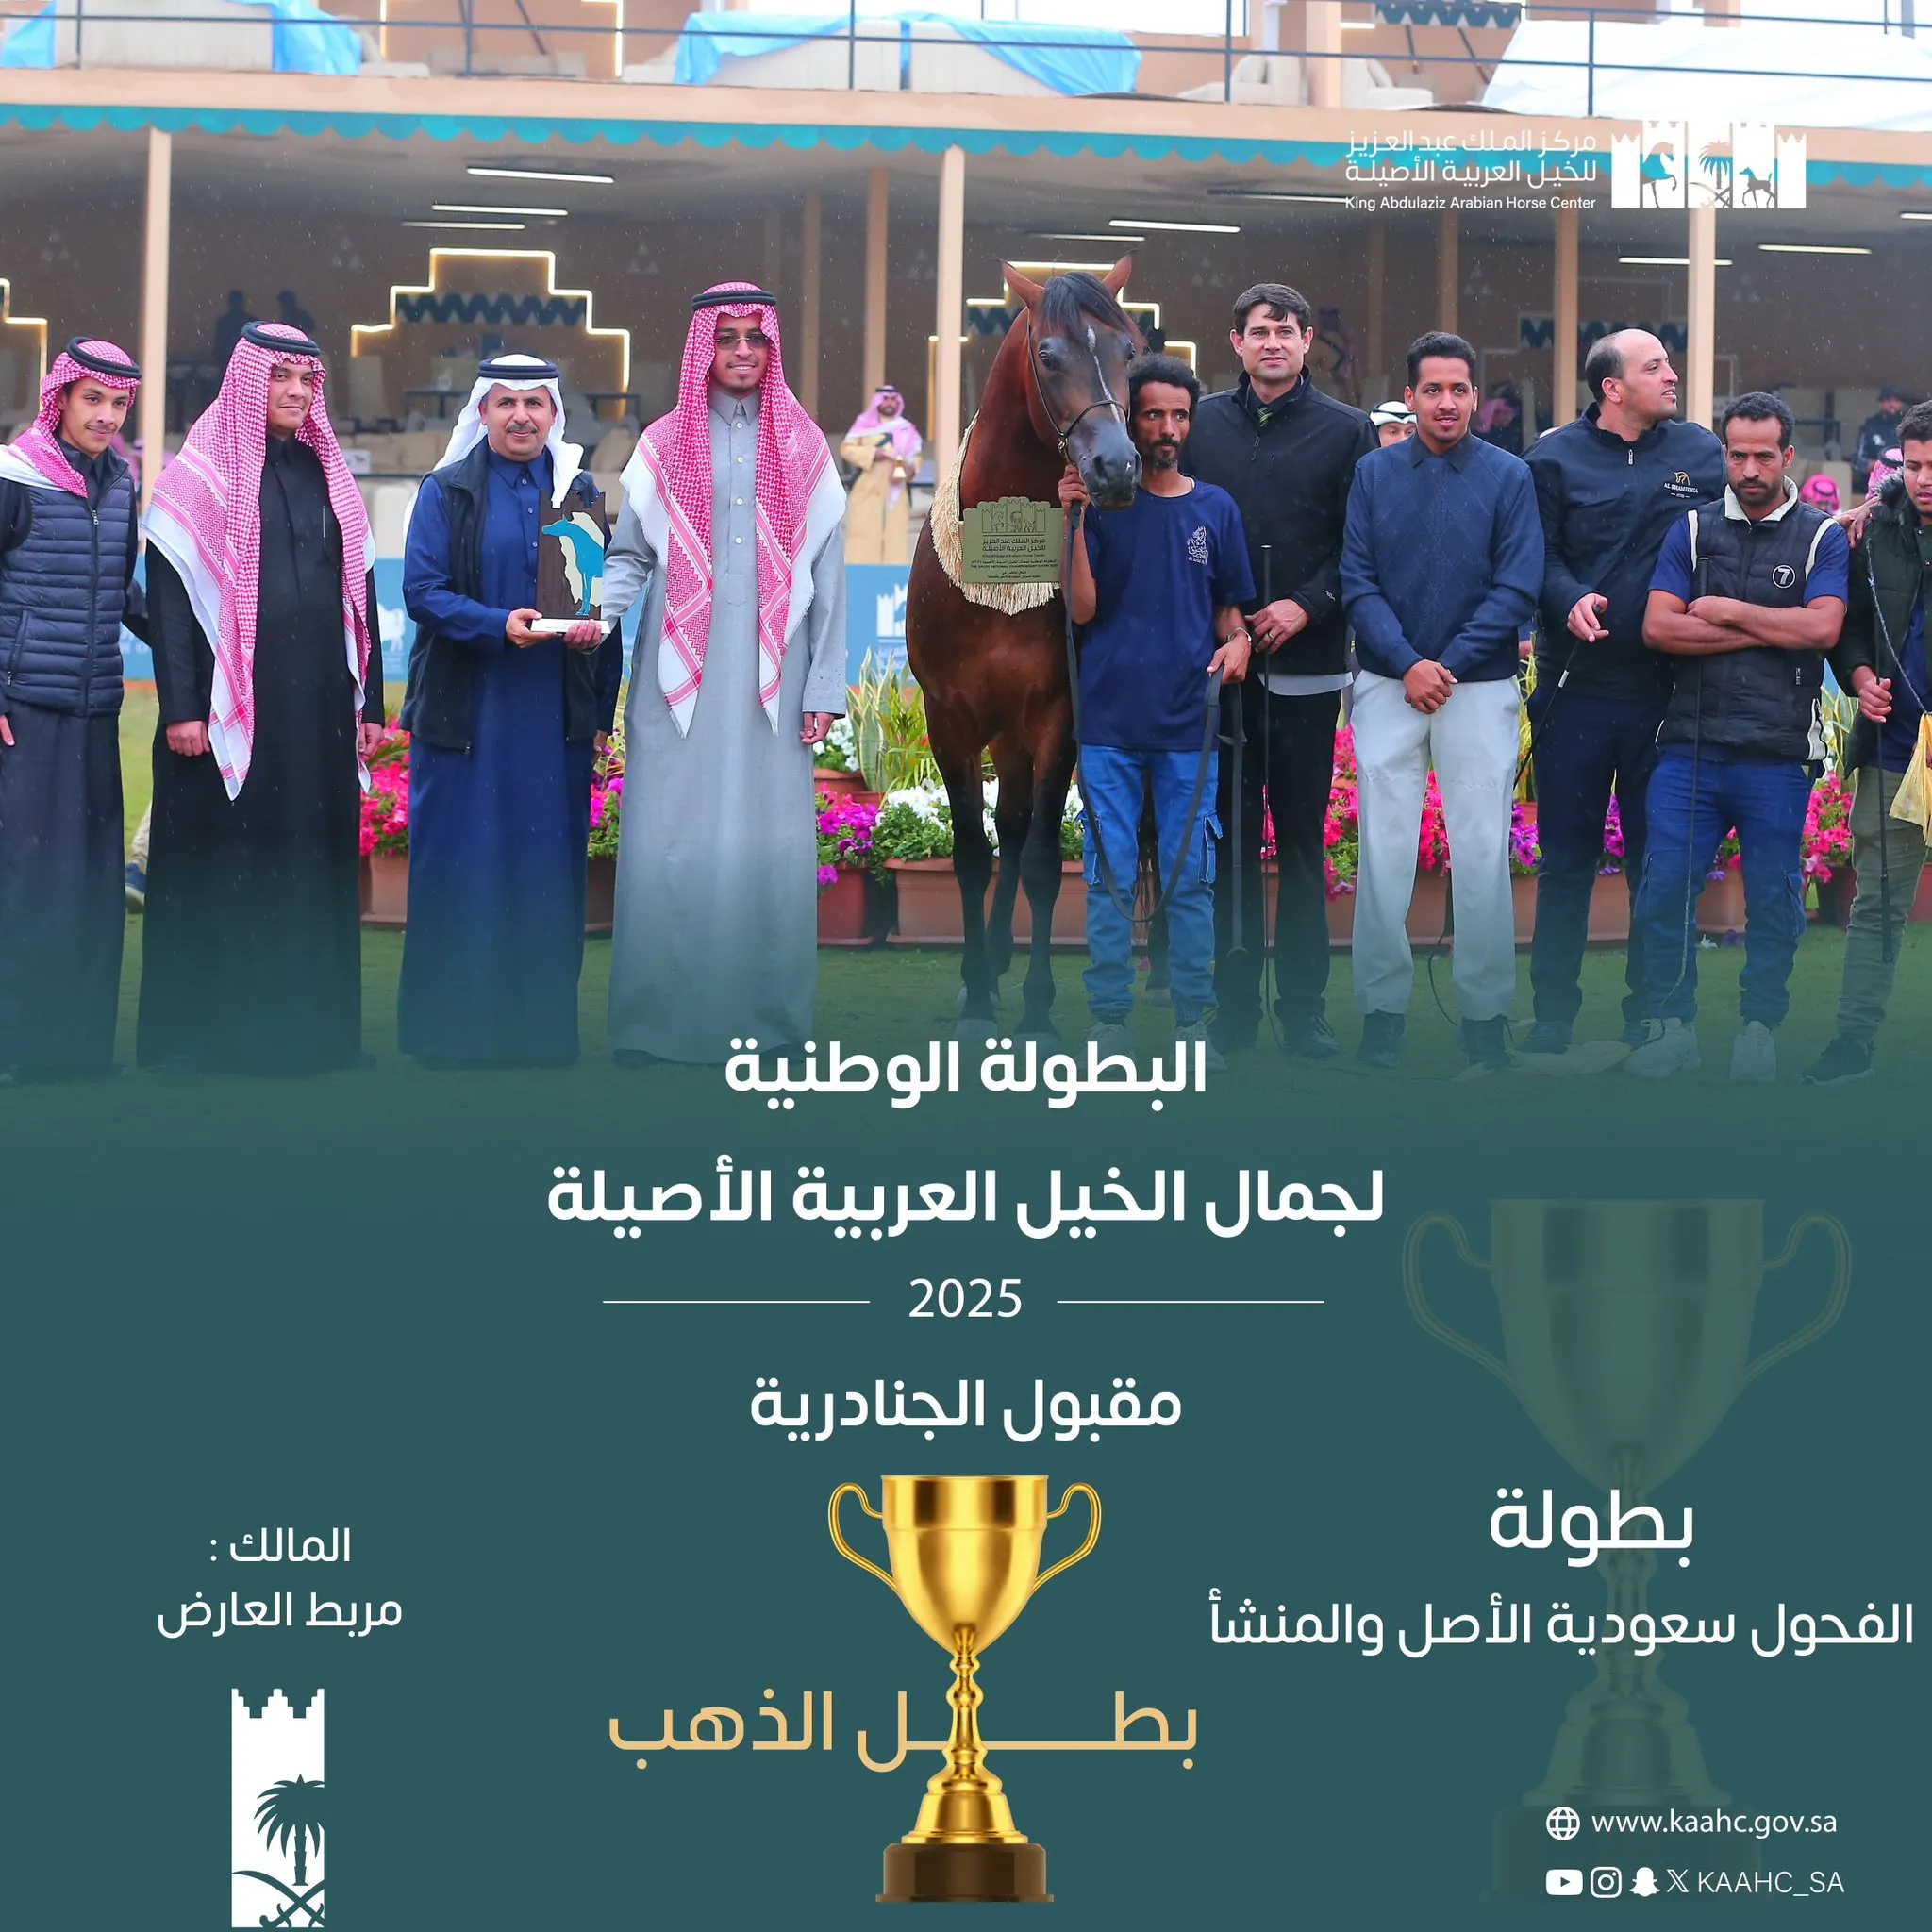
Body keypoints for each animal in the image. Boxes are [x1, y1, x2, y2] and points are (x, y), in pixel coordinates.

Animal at [904, 258, 1143, 1042]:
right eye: (1049, 354)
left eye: (1130, 350)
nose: (1116, 469)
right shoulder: (949, 717)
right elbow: (971, 855)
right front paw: (977, 993)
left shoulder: (1055, 717)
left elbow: (1037, 858)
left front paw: (1037, 1003)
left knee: (1015, 826)